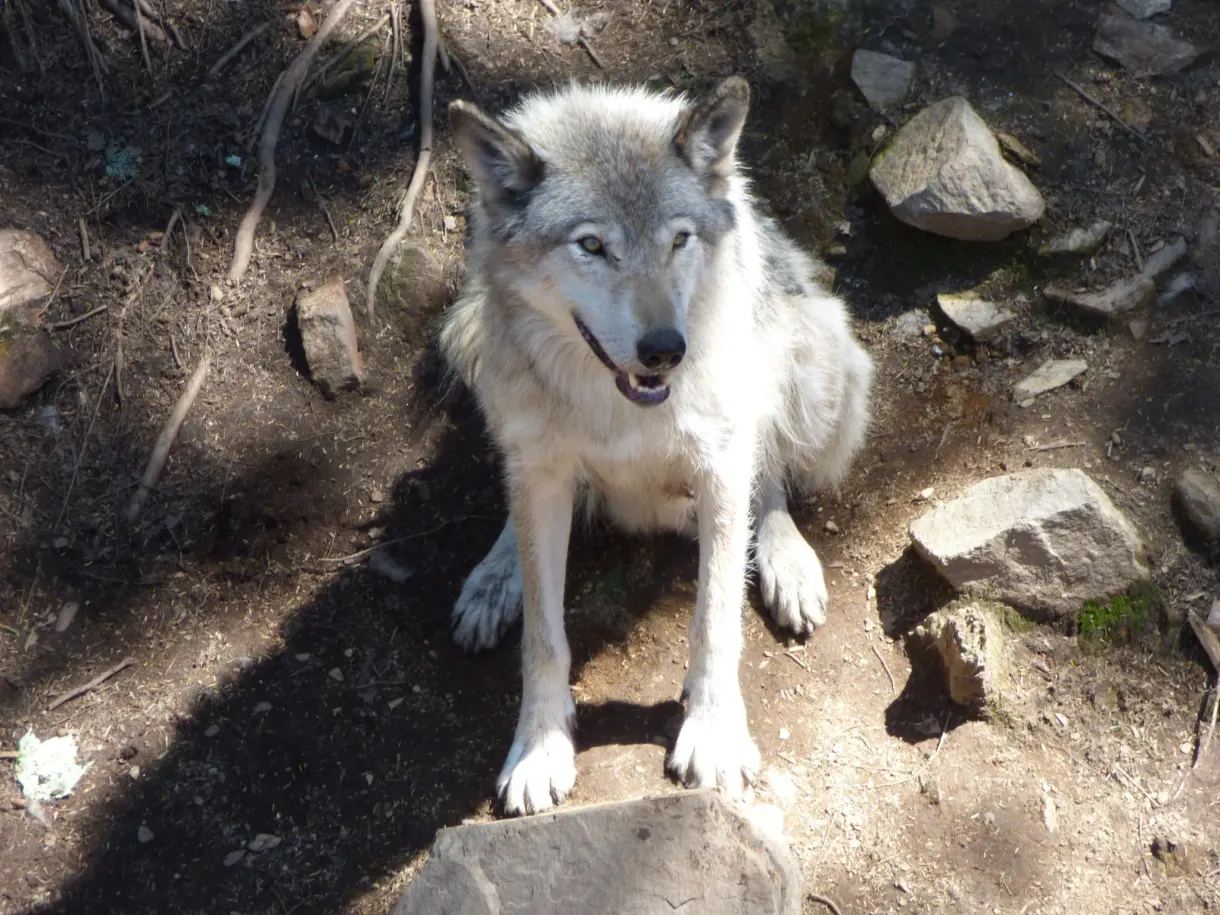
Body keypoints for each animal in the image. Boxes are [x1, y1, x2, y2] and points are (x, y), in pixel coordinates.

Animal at [438, 76, 874, 816]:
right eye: (592, 245)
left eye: (679, 240)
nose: (667, 349)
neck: (622, 410)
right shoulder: (543, 470)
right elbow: (543, 638)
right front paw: (539, 749)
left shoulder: (722, 464)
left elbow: (715, 617)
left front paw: (714, 733)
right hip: (471, 334)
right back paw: (496, 576)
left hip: (817, 366)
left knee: (772, 478)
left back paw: (787, 562)